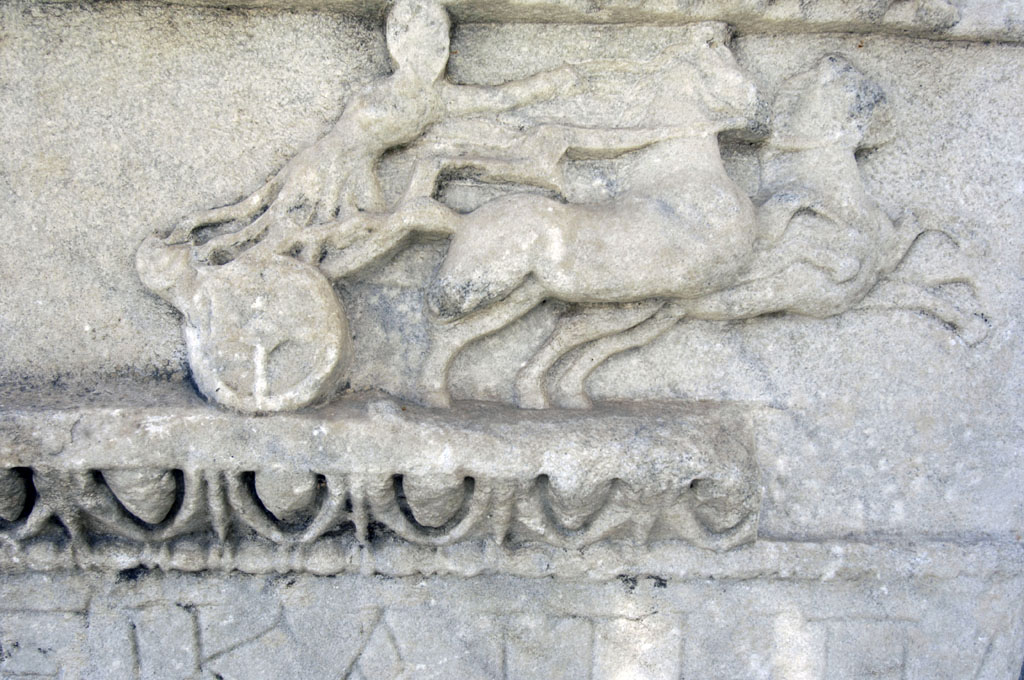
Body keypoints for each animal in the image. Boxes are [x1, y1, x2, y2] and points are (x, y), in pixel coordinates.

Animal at [416, 22, 766, 407]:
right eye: (720, 52)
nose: (759, 112)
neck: (684, 181)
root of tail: (463, 221)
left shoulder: (650, 297)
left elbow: (580, 333)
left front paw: (554, 393)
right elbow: (586, 334)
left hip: (524, 292)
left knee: (458, 332)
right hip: (476, 283)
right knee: (439, 318)